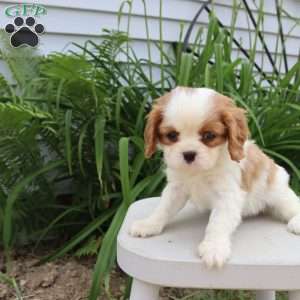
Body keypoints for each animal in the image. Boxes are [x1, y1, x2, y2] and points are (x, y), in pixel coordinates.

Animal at [130, 86, 300, 268]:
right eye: (172, 135)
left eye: (209, 136)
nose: (189, 154)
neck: (200, 171)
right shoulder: (176, 188)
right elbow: (163, 209)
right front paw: (149, 224)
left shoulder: (227, 195)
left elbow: (218, 223)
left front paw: (214, 247)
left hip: (278, 195)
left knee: (292, 205)